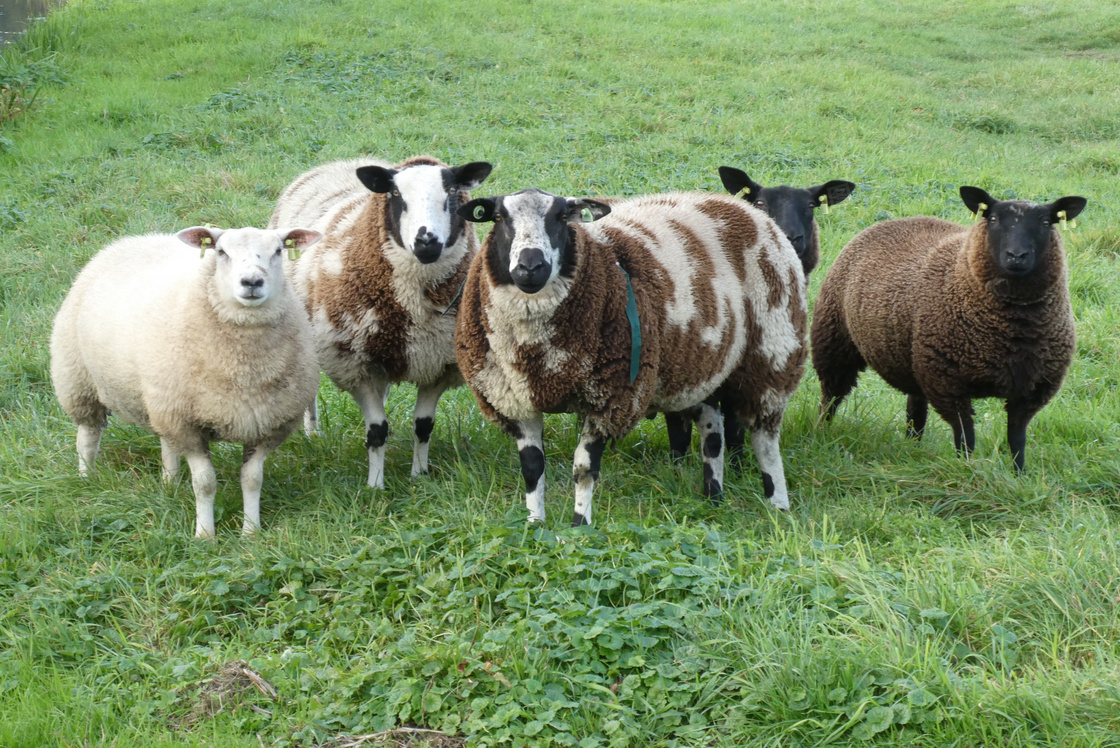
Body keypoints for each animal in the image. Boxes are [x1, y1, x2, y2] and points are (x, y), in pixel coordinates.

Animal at [52, 225, 324, 535]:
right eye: (221, 252)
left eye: (278, 251)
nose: (252, 282)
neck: (244, 368)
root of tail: (133, 239)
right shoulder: (188, 426)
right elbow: (204, 484)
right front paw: (205, 534)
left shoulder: (265, 425)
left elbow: (252, 480)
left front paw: (250, 532)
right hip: (78, 381)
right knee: (87, 437)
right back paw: (87, 478)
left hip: (161, 399)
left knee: (165, 444)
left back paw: (169, 485)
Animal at [268, 154, 492, 488]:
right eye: (396, 194)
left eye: (451, 193)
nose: (426, 241)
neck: (414, 308)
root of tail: (345, 160)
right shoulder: (355, 366)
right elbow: (376, 431)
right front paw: (375, 485)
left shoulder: (439, 365)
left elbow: (423, 425)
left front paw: (419, 475)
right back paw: (312, 433)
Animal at [452, 187, 806, 526]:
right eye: (499, 218)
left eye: (562, 218)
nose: (531, 267)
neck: (536, 353)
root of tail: (743, 207)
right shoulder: (514, 400)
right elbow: (532, 468)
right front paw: (534, 523)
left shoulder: (611, 397)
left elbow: (584, 469)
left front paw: (579, 526)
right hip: (701, 363)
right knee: (712, 429)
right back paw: (713, 496)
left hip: (773, 353)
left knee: (765, 440)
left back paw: (778, 505)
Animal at [810, 183, 1088, 470]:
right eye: (993, 219)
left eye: (1046, 222)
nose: (1016, 256)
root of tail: (898, 220)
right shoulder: (947, 384)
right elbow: (966, 437)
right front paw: (966, 470)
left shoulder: (1031, 390)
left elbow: (1017, 440)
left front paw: (1019, 475)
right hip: (833, 341)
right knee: (830, 397)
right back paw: (822, 432)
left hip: (914, 360)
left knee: (915, 410)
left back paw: (912, 446)